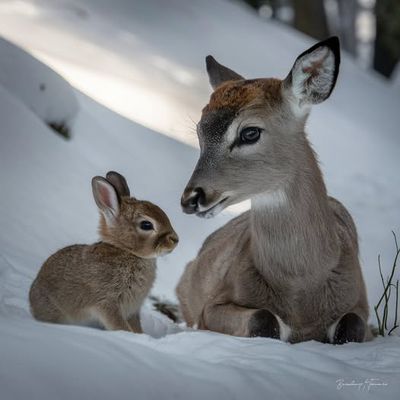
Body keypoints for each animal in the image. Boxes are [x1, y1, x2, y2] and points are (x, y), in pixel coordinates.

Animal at [31, 170, 180, 332]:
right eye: (146, 225)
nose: (175, 240)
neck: (125, 251)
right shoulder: (107, 302)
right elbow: (119, 325)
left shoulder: (132, 310)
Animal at [177, 36, 374, 344]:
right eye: (200, 131)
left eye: (250, 132)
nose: (191, 198)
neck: (302, 288)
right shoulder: (210, 306)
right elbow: (263, 318)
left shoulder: (362, 306)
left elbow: (351, 327)